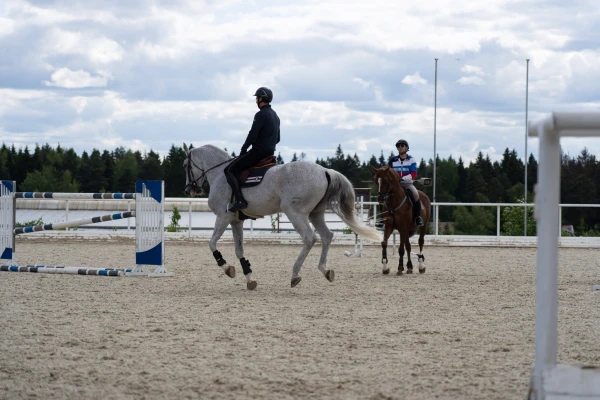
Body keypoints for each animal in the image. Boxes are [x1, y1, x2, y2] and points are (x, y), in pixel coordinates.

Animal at [180, 144, 382, 290]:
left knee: (310, 238)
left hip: (295, 212)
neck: (220, 174)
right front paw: (249, 278)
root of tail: (325, 170)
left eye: (184, 165)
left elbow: (212, 243)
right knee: (326, 236)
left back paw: (295, 274)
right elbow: (239, 251)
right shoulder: (236, 221)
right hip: (315, 214)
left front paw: (227, 268)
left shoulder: (224, 217)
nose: (189, 190)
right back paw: (325, 270)